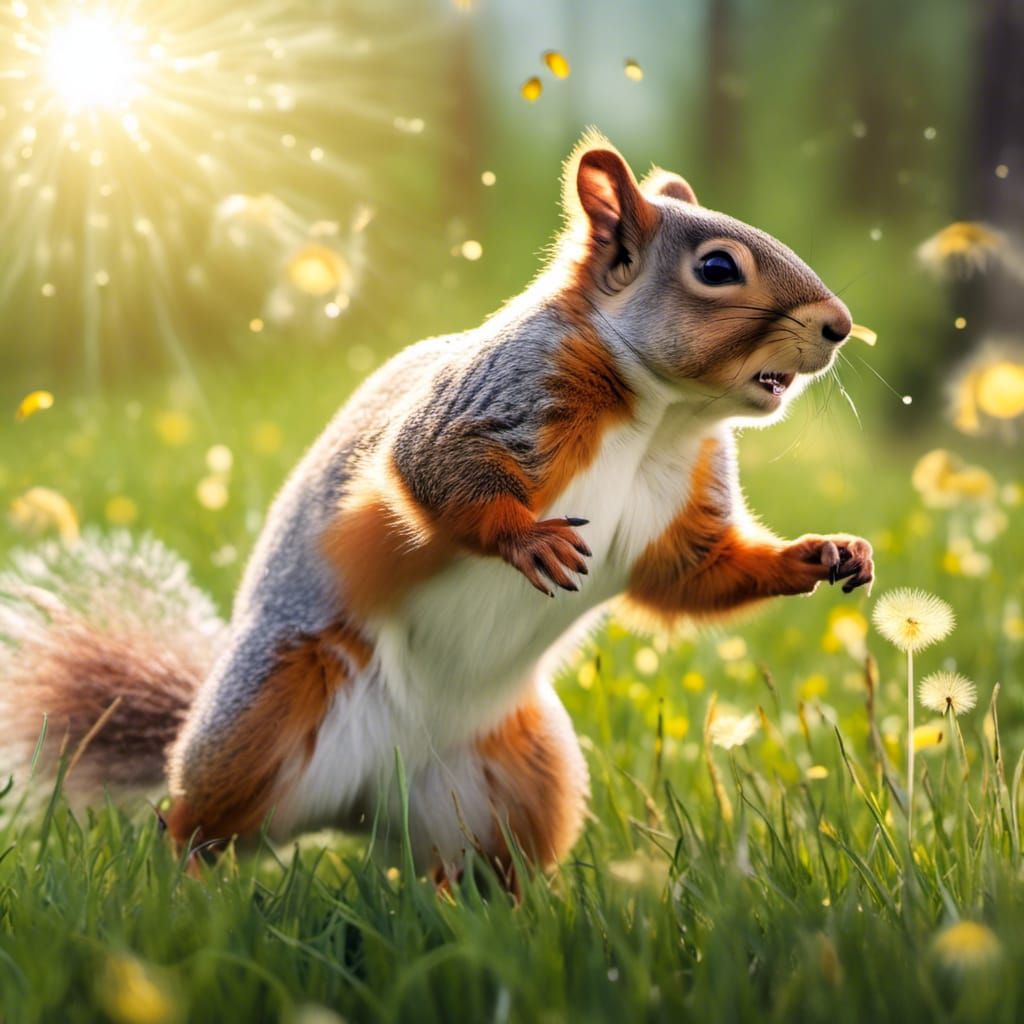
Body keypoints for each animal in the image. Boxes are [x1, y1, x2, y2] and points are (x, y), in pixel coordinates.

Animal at [0, 132, 872, 883]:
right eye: (718, 266)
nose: (840, 325)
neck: (662, 414)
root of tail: (358, 808)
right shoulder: (506, 391)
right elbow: (429, 464)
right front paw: (526, 540)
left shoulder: (682, 503)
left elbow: (691, 575)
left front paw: (822, 555)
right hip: (270, 711)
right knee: (199, 824)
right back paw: (185, 883)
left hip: (517, 773)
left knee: (469, 866)